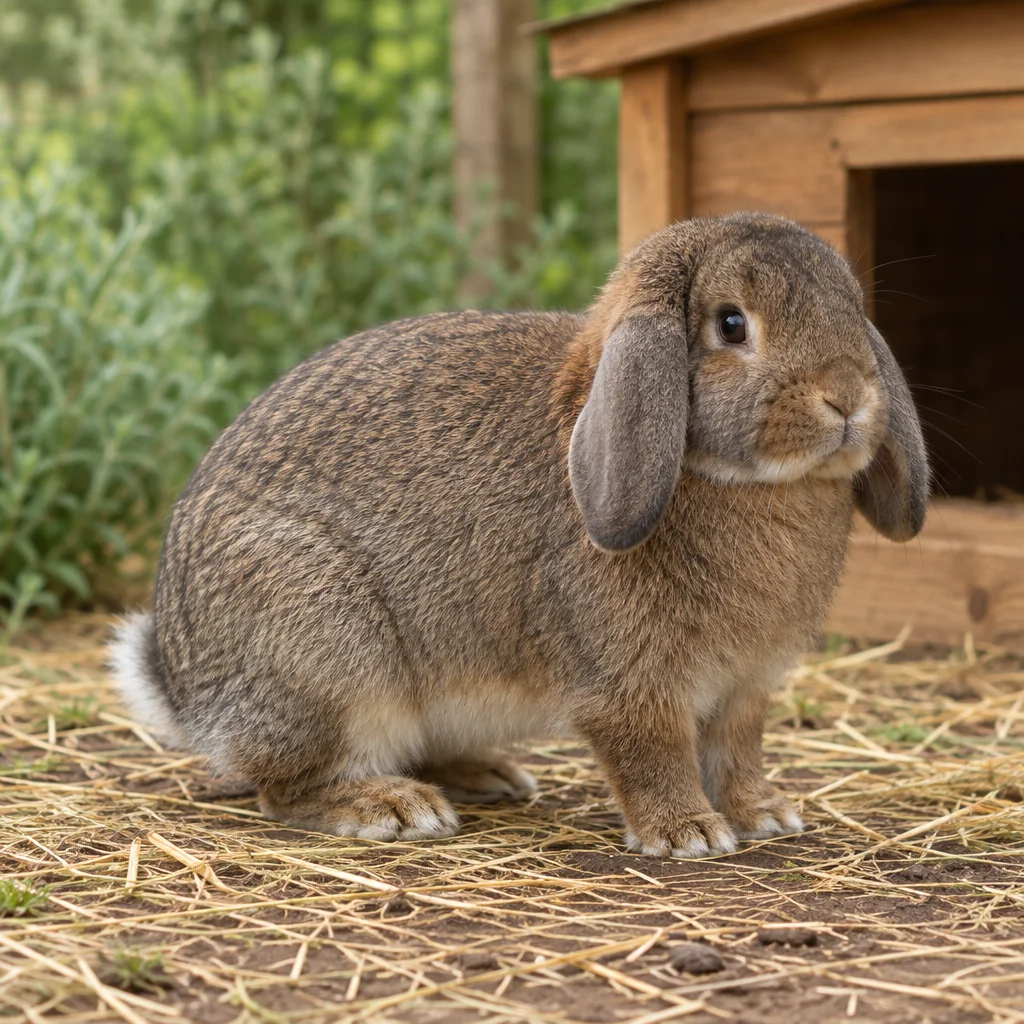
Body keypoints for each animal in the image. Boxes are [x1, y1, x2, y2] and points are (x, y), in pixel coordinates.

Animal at [109, 212, 928, 857]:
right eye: (732, 324)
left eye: (854, 310)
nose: (848, 397)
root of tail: (181, 681)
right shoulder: (629, 684)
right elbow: (653, 753)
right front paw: (687, 834)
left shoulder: (745, 689)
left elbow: (738, 753)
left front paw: (766, 815)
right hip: (325, 652)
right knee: (282, 788)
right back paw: (392, 807)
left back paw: (487, 776)